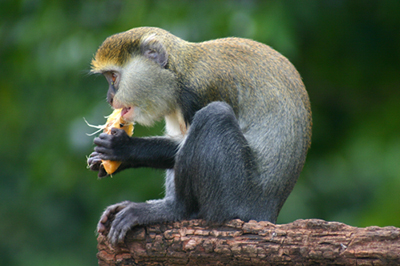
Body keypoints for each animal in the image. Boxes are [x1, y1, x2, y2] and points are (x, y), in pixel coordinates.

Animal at [87, 27, 312, 245]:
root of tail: (267, 211)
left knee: (214, 115)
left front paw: (124, 148)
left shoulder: (201, 91)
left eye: (113, 77)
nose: (109, 97)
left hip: (238, 198)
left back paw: (174, 209)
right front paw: (111, 160)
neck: (179, 74)